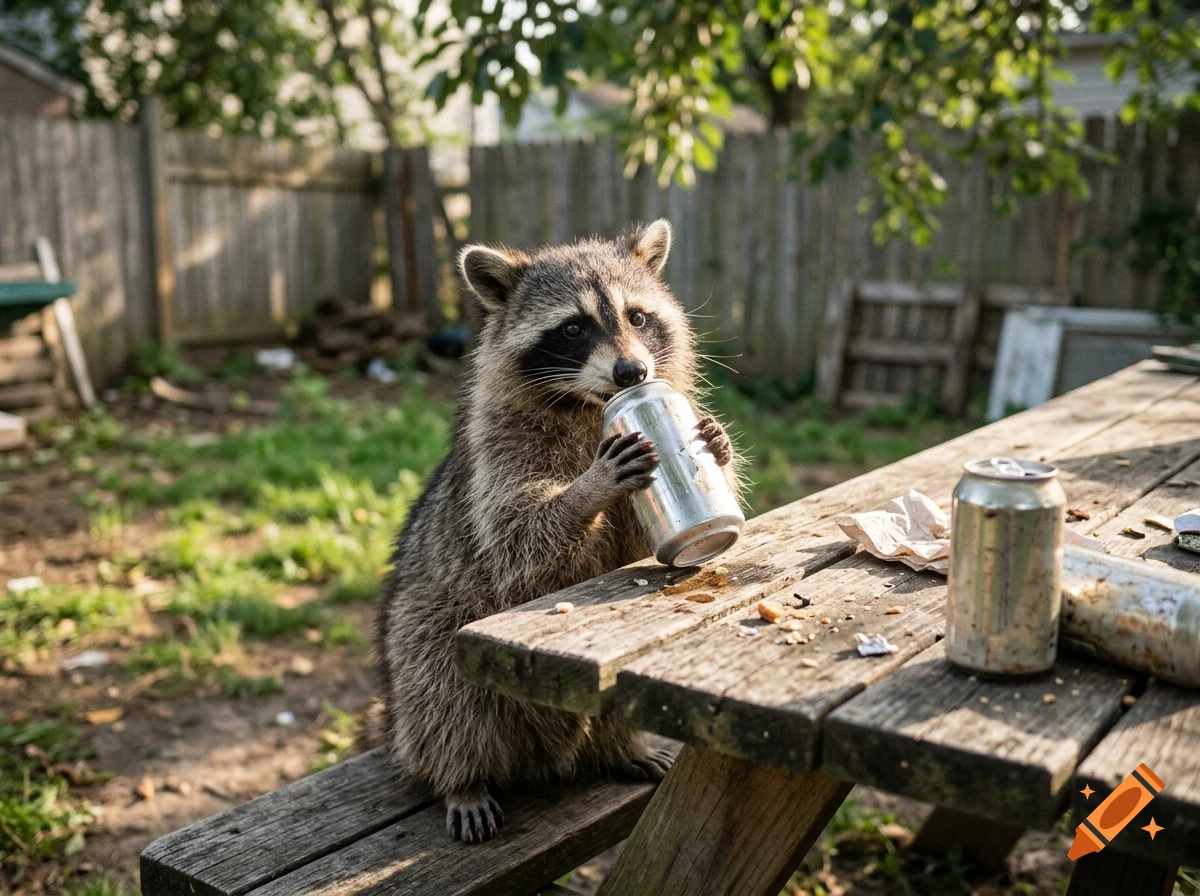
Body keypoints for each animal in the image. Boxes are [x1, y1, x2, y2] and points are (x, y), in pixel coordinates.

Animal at [377, 220, 738, 843]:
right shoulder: (501, 452)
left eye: (637, 317)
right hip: (420, 631)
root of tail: (545, 755)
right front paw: (587, 489)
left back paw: (621, 745)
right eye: (573, 328)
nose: (632, 375)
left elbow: (637, 547)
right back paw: (462, 778)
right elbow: (520, 544)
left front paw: (717, 446)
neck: (590, 404)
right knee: (440, 686)